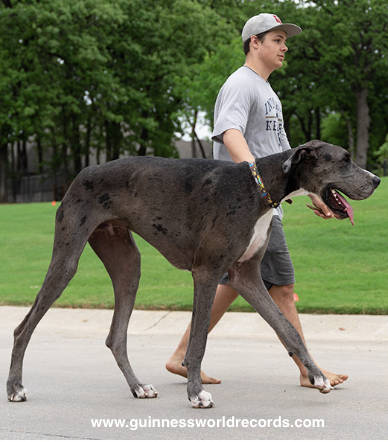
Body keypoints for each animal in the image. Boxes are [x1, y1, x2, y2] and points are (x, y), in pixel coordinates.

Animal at [7, 141, 380, 408]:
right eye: (344, 160)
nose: (377, 180)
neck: (259, 189)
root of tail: (82, 173)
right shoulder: (207, 272)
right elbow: (198, 340)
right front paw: (195, 393)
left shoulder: (246, 277)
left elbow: (288, 329)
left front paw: (318, 377)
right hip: (66, 261)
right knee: (23, 327)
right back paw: (15, 388)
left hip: (128, 265)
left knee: (116, 336)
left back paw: (138, 387)